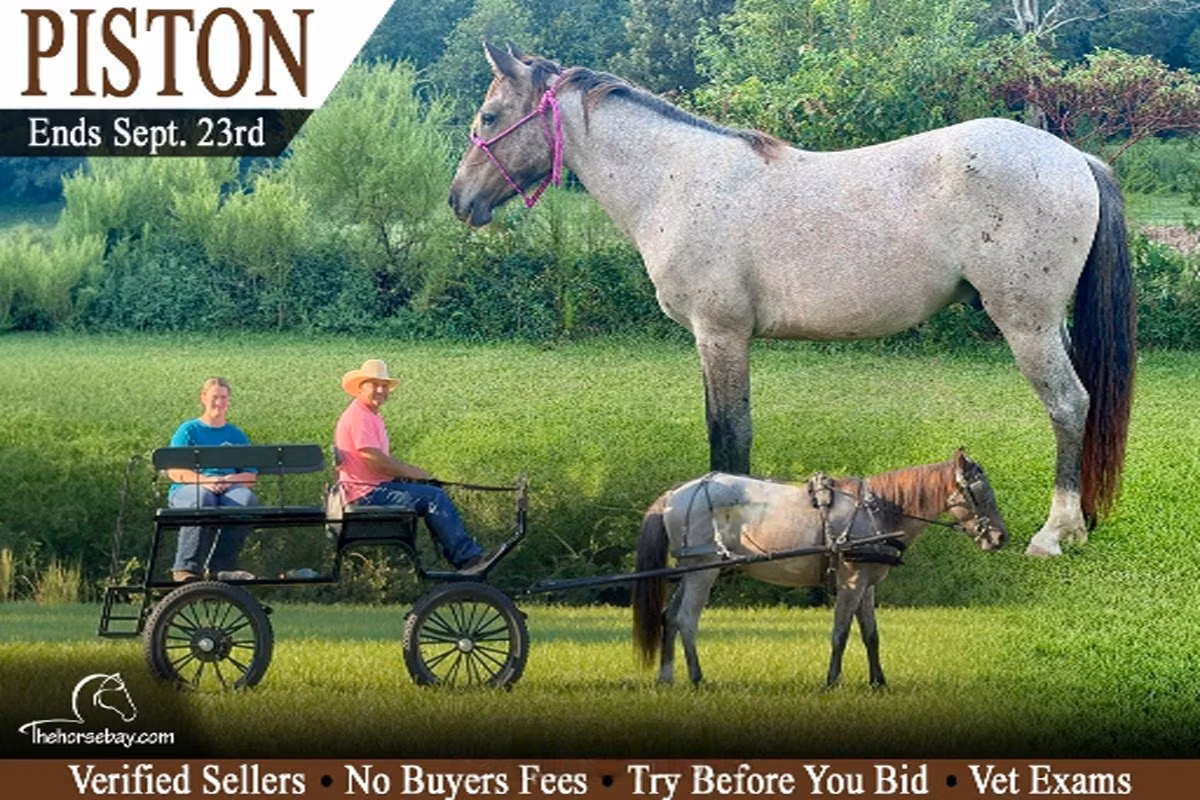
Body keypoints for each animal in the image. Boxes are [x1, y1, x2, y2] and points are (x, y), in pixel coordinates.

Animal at [448, 43, 1135, 557]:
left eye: (489, 117)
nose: (459, 200)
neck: (678, 179)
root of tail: (1073, 157)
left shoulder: (720, 333)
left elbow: (729, 433)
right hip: (1049, 326)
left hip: (1027, 325)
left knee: (1069, 405)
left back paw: (1056, 532)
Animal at [631, 449, 1008, 687]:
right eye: (980, 493)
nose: (1000, 537)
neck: (879, 512)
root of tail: (676, 494)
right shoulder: (851, 582)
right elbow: (840, 632)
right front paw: (832, 680)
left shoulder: (868, 584)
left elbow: (871, 635)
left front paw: (878, 681)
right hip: (703, 570)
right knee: (686, 619)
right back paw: (697, 677)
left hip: (691, 568)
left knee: (669, 616)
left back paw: (667, 677)